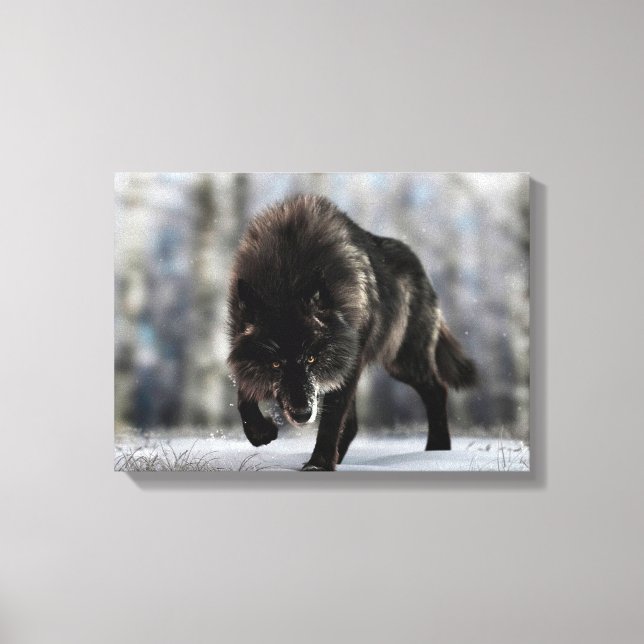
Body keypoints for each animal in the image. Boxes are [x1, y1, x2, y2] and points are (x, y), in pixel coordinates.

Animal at [227, 195, 476, 471]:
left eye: (311, 358)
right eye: (275, 364)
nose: (303, 415)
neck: (288, 274)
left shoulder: (347, 363)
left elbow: (331, 420)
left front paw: (318, 465)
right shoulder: (243, 353)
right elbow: (244, 394)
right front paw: (261, 432)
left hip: (402, 361)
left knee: (437, 390)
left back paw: (436, 452)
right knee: (355, 424)